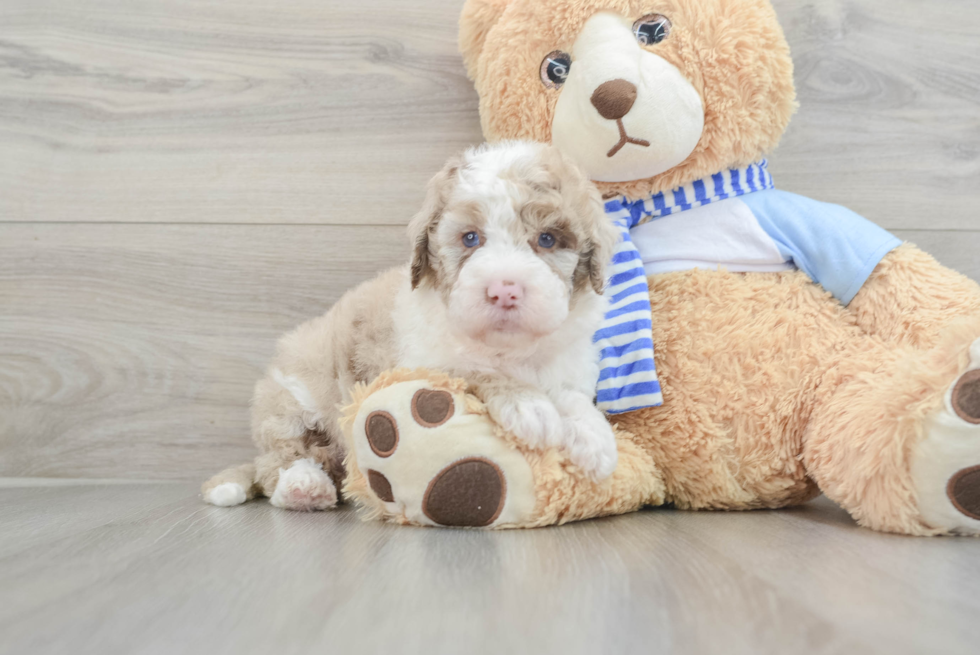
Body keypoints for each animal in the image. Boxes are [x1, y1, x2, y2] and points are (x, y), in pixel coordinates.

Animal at [205, 142, 620, 512]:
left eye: (547, 239)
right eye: (471, 238)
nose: (504, 290)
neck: (508, 348)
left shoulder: (568, 362)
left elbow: (571, 395)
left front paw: (594, 437)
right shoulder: (422, 362)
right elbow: (474, 371)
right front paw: (528, 405)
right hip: (294, 397)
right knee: (278, 460)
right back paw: (303, 487)